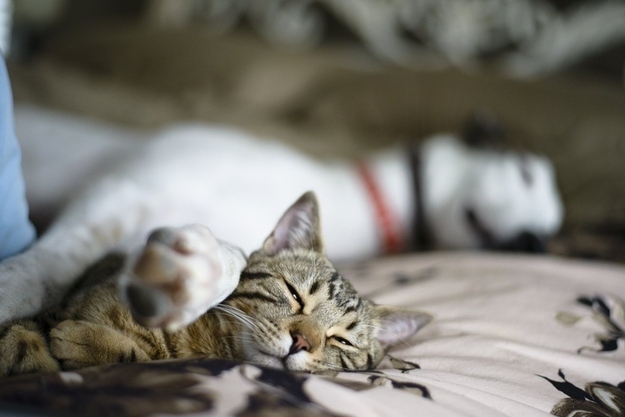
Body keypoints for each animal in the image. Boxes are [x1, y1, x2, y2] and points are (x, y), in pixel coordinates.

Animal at [0, 105, 560, 324]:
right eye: (524, 172)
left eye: (553, 235)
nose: (534, 241)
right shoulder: (120, 190)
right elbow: (46, 266)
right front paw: (13, 288)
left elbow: (232, 264)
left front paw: (192, 276)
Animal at [0, 193, 428, 376]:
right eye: (294, 295)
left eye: (341, 340)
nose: (301, 343)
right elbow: (22, 336)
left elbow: (133, 356)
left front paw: (84, 342)